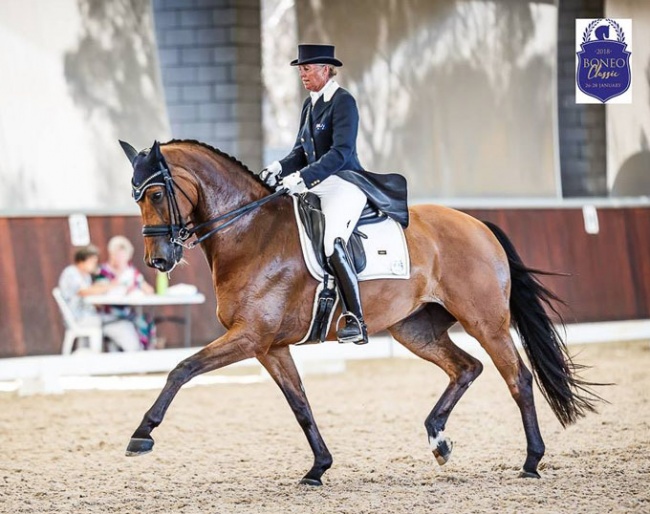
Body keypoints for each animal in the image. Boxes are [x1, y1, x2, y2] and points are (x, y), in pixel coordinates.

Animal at [120, 138, 596, 482]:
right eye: (135, 197)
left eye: (157, 194)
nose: (158, 261)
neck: (249, 232)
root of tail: (478, 224)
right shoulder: (269, 347)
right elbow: (300, 405)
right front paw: (318, 468)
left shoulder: (250, 335)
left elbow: (181, 369)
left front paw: (142, 434)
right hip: (415, 329)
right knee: (467, 367)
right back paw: (439, 440)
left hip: (485, 321)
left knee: (517, 377)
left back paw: (531, 461)